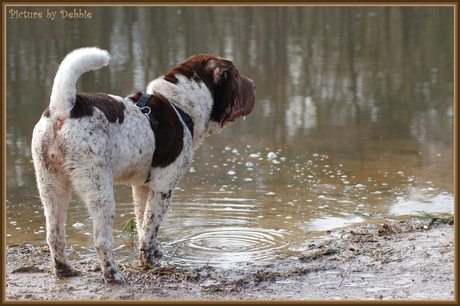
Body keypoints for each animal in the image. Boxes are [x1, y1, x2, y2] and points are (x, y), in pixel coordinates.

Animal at [31, 46, 255, 284]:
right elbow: (150, 229)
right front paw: (149, 264)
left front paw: (154, 253)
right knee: (102, 240)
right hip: (99, 190)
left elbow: (143, 224)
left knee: (54, 235)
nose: (254, 85)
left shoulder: (142, 188)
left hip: (51, 186)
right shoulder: (163, 186)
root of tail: (65, 108)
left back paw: (64, 270)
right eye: (236, 75)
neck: (180, 106)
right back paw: (114, 276)